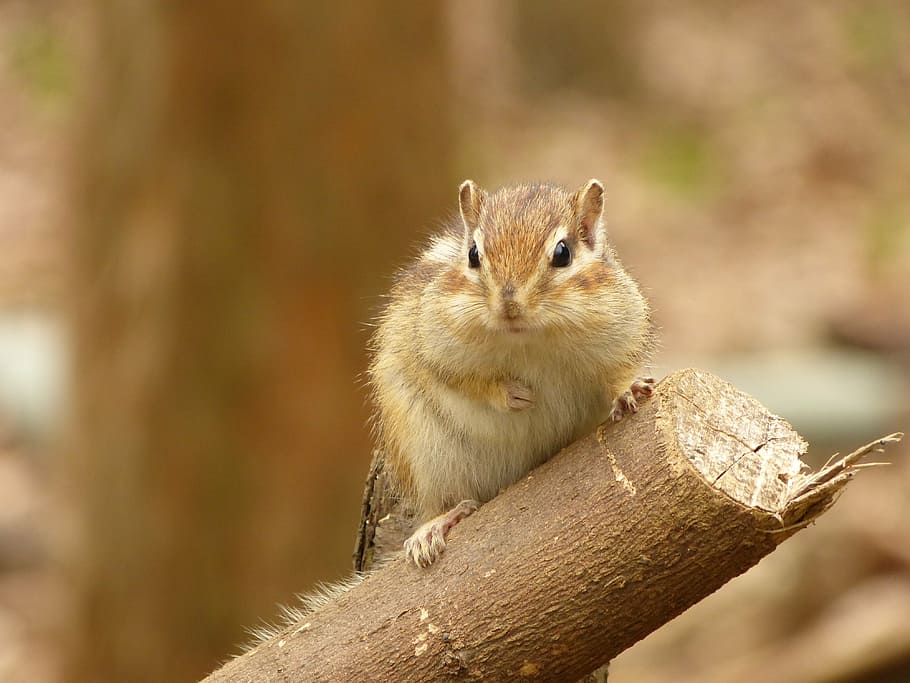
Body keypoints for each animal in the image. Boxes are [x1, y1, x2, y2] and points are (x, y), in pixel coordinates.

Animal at [368, 179, 655, 567]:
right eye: (473, 254)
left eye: (563, 253)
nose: (509, 304)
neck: (529, 339)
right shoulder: (430, 340)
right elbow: (462, 380)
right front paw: (513, 394)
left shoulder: (622, 332)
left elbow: (618, 372)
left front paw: (629, 390)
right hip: (426, 455)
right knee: (441, 501)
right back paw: (438, 524)